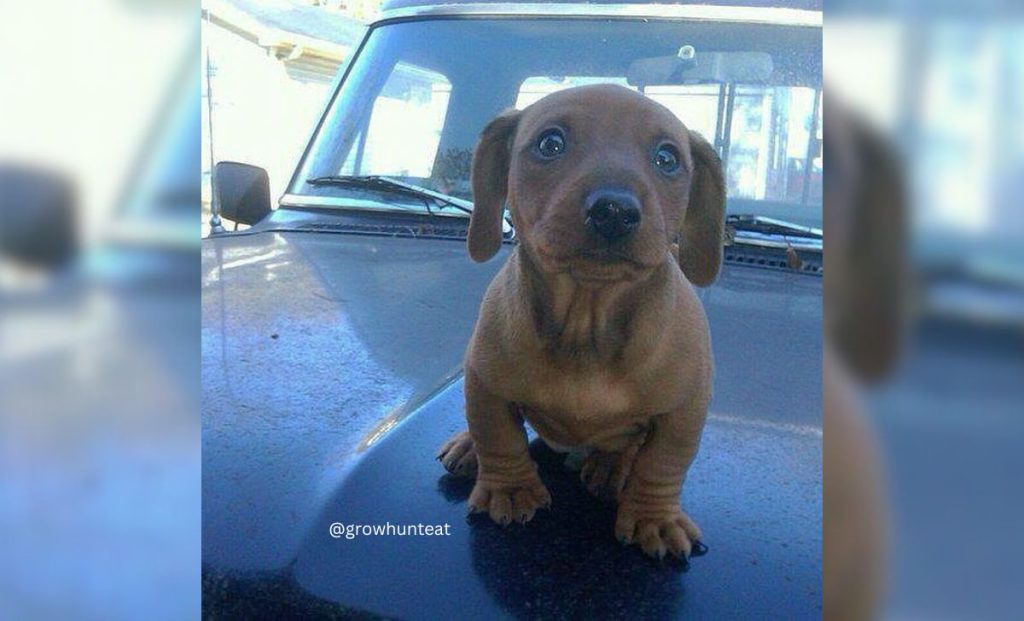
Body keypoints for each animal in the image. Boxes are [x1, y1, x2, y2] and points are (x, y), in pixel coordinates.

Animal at [436, 84, 724, 561]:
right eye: (551, 143)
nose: (614, 211)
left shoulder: (685, 408)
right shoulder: (484, 380)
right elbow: (497, 433)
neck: (585, 323)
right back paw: (467, 446)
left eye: (667, 158)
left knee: (632, 450)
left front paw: (654, 518)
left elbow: (663, 463)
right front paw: (510, 489)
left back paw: (610, 466)